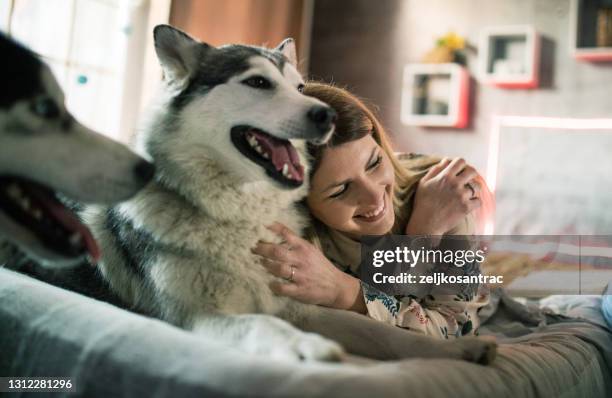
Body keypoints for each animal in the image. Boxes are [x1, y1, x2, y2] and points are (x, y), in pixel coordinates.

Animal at [83, 23, 498, 362]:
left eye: (299, 87)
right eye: (258, 83)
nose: (327, 115)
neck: (244, 217)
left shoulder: (301, 307)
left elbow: (385, 331)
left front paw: (460, 349)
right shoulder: (197, 318)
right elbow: (263, 325)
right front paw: (305, 345)